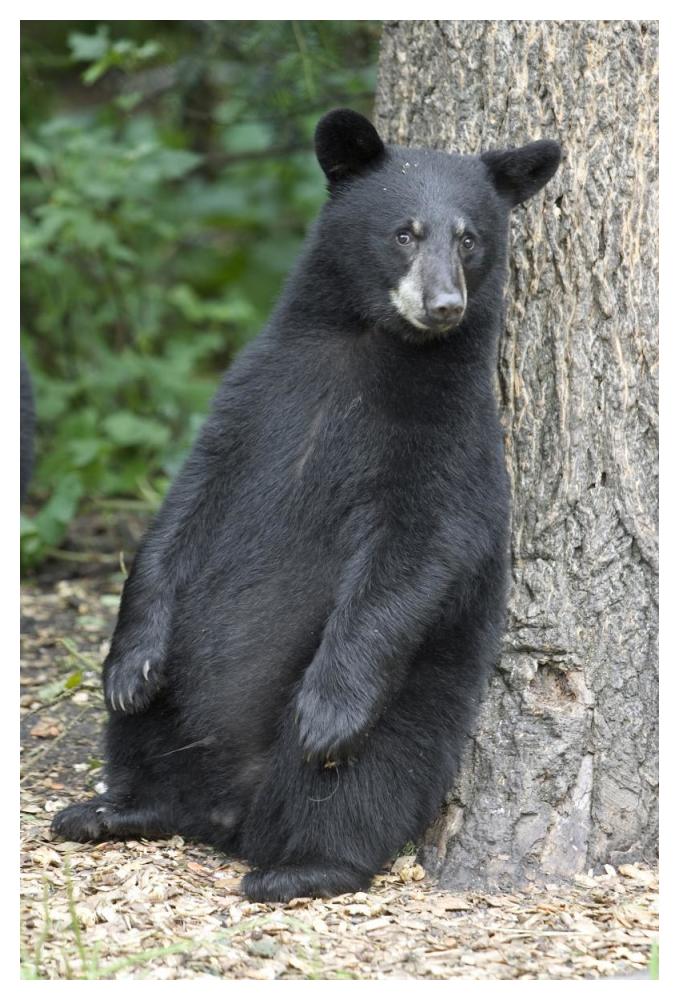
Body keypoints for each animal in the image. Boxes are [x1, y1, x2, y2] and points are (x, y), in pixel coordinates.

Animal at [52, 109, 561, 902]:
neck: (369, 347)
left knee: (360, 781)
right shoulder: (253, 398)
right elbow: (182, 510)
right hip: (180, 695)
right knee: (145, 734)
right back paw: (112, 808)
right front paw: (128, 664)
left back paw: (304, 864)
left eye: (470, 237)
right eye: (404, 232)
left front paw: (328, 710)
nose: (444, 305)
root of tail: (227, 813)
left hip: (411, 701)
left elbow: (416, 551)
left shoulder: (449, 439)